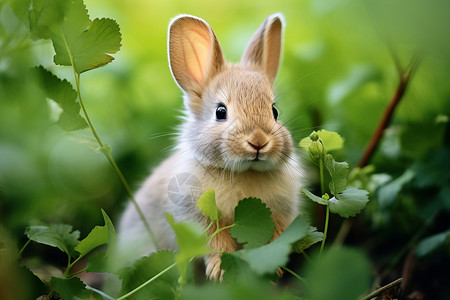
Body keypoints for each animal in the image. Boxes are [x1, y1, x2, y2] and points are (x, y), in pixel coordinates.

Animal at [118, 12, 304, 282]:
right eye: (220, 112)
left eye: (274, 111)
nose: (258, 141)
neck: (244, 172)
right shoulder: (197, 218)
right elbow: (215, 243)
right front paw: (220, 272)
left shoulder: (280, 213)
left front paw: (276, 266)